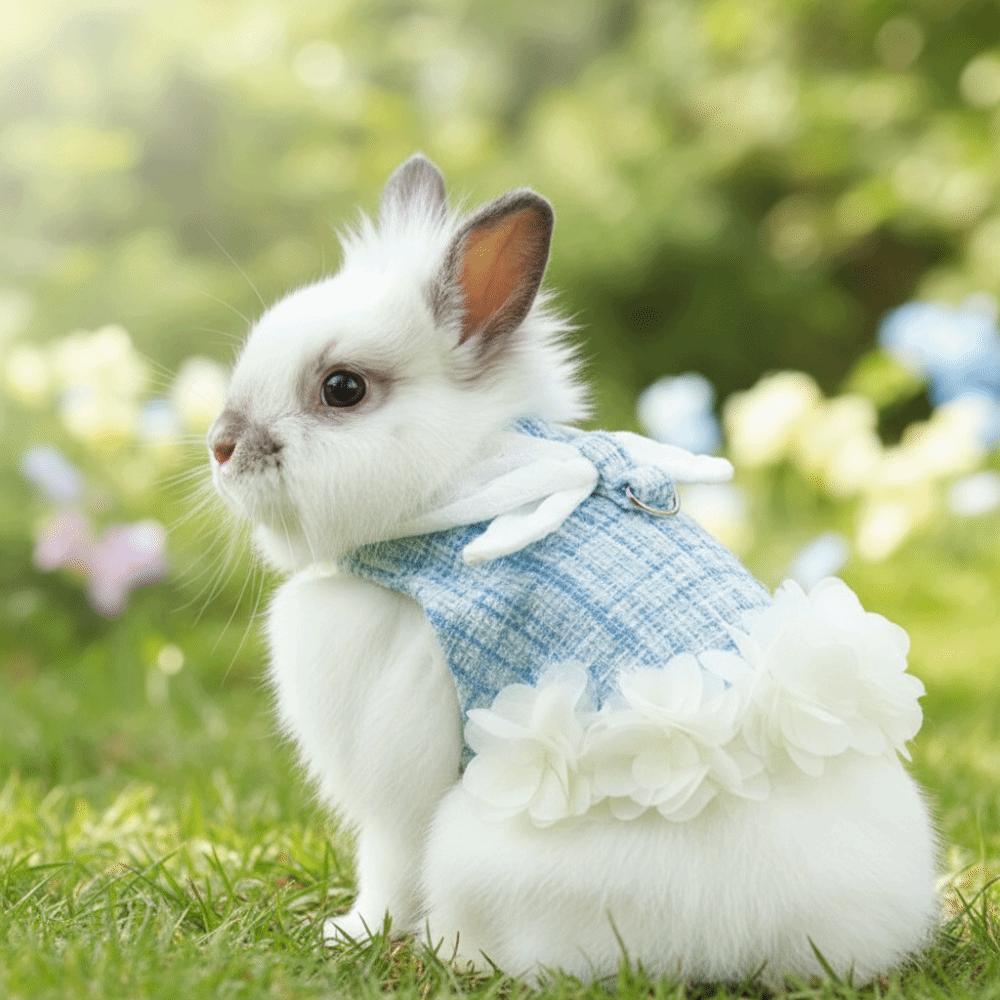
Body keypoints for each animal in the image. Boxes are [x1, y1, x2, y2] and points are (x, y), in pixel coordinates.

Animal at [208, 154, 938, 984]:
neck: (462, 478)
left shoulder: (395, 775)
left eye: (343, 388)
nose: (220, 447)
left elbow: (387, 864)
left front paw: (352, 932)